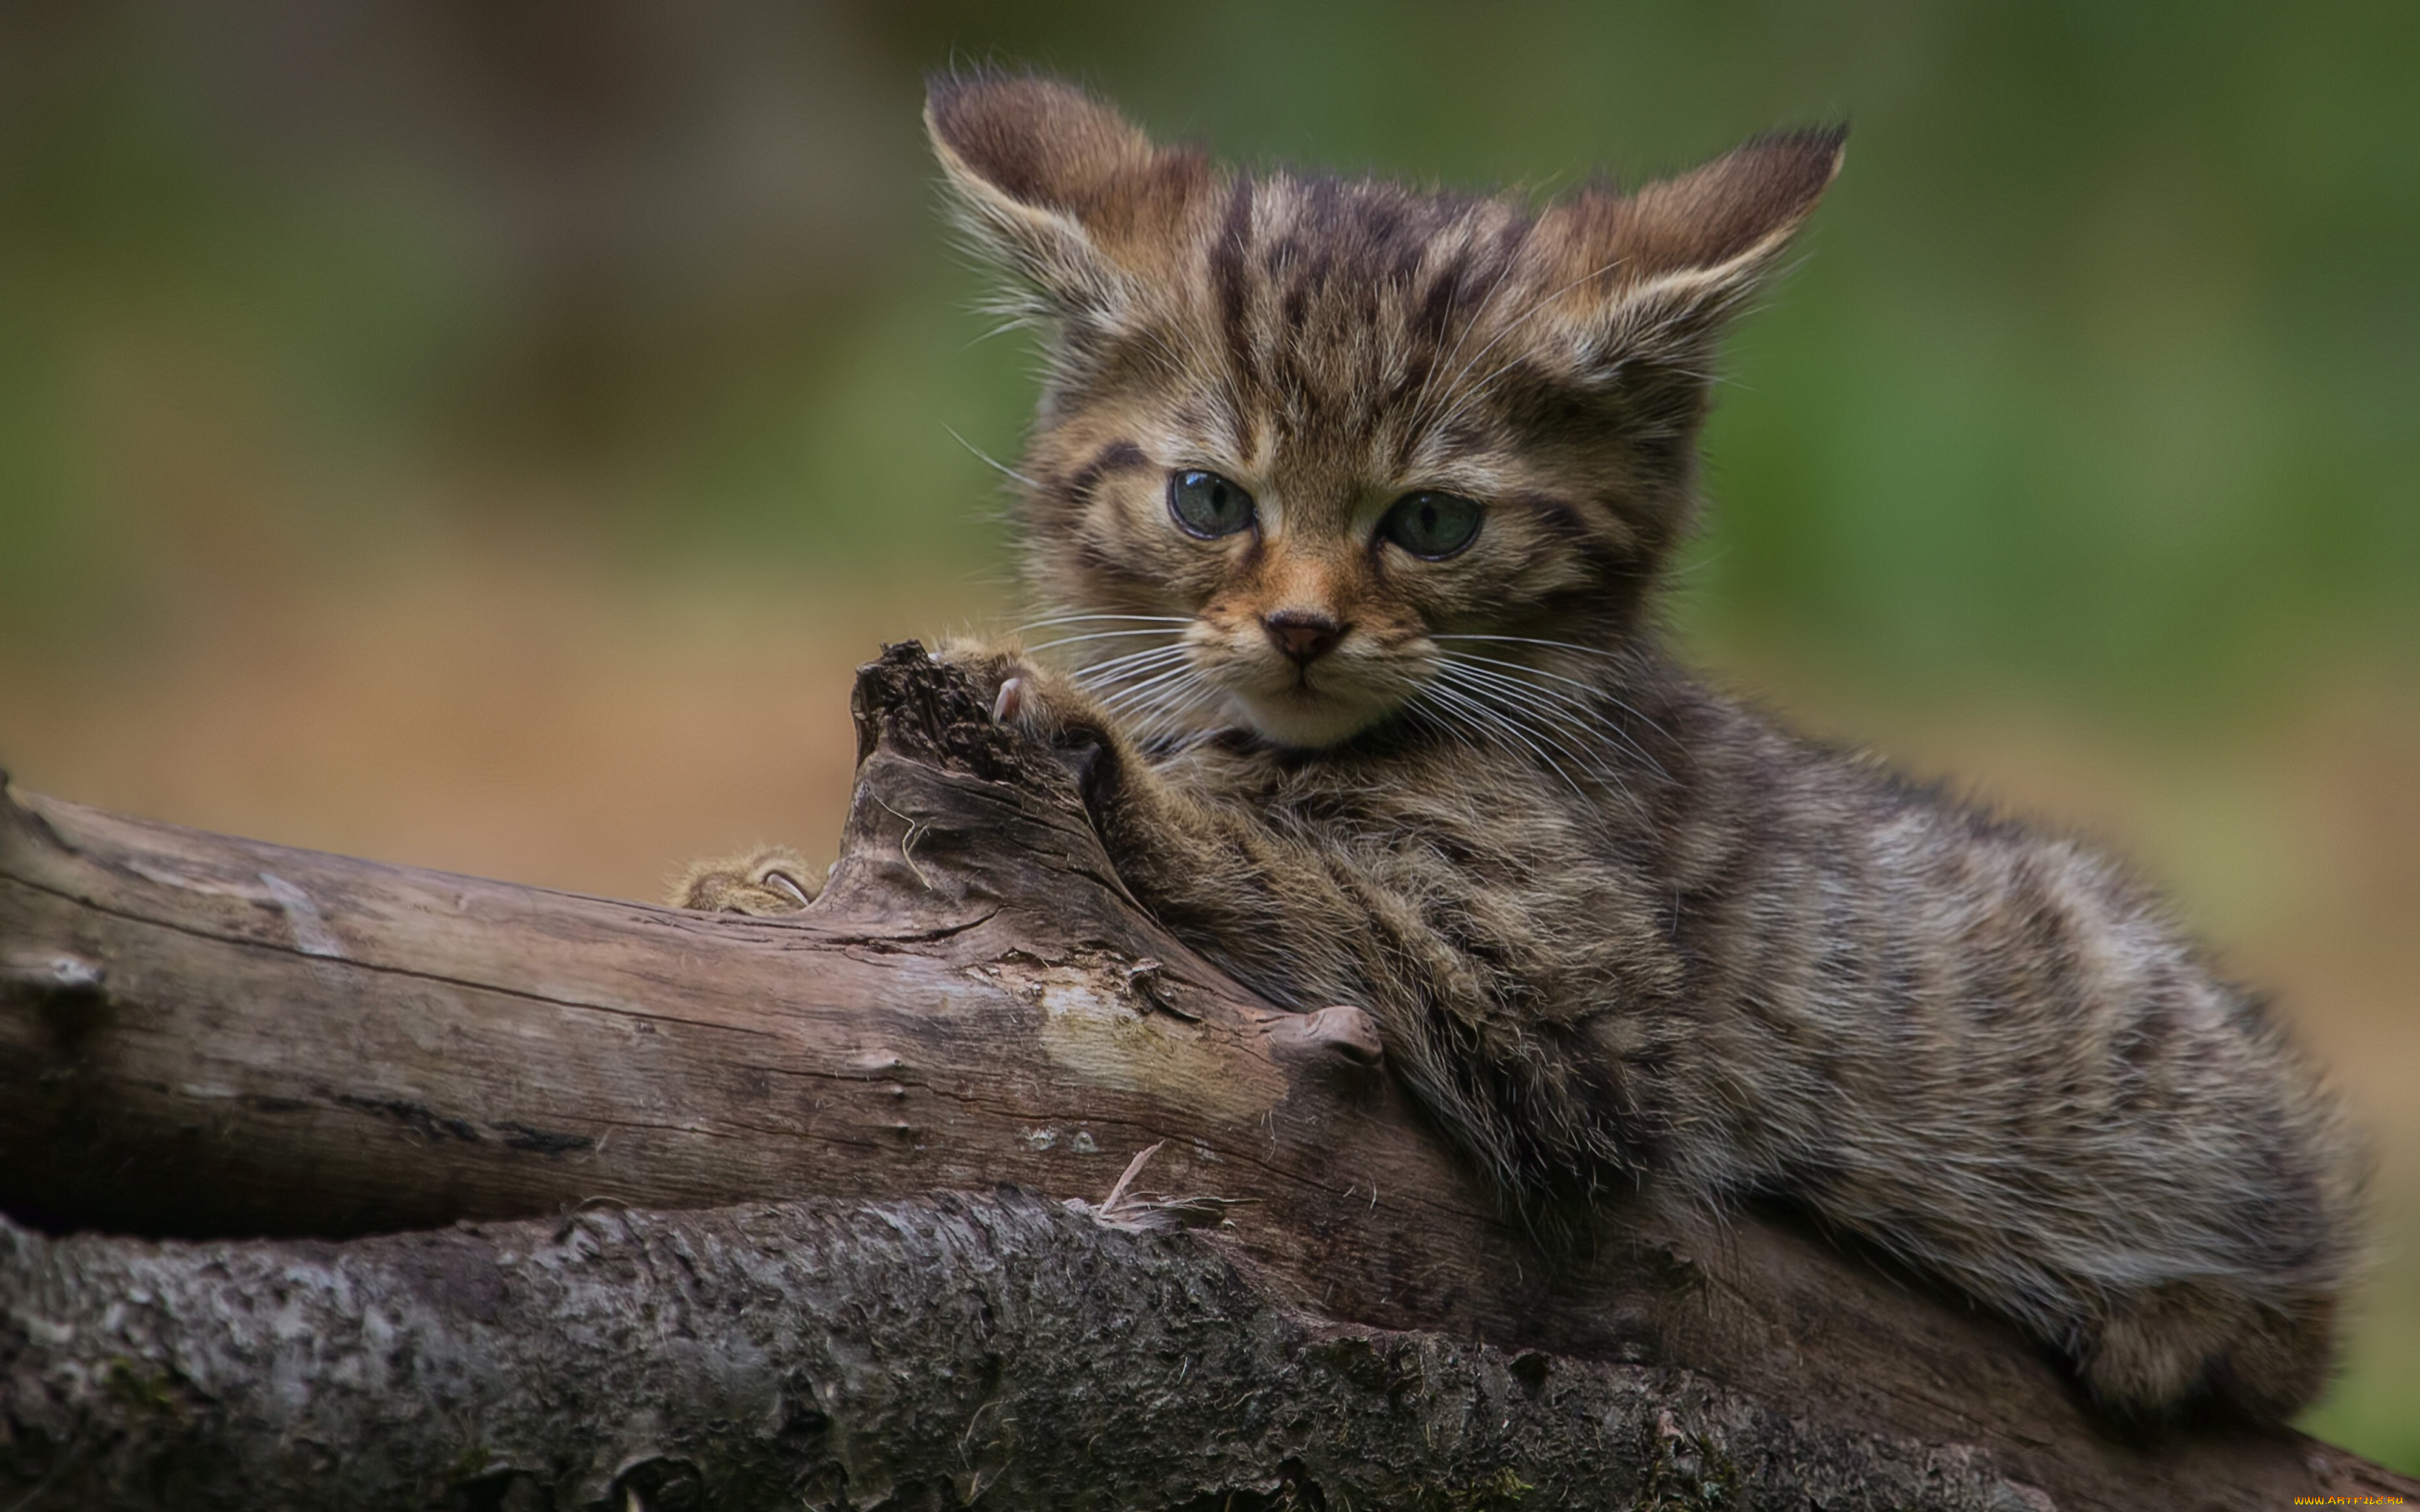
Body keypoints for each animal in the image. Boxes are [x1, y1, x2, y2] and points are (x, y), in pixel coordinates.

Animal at [682, 71, 2361, 1412]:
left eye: (1431, 524)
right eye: (1210, 501)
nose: (1303, 628)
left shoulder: (1585, 1011)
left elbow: (1288, 867)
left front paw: (1105, 751)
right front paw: (763, 885)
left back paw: (2182, 1319)